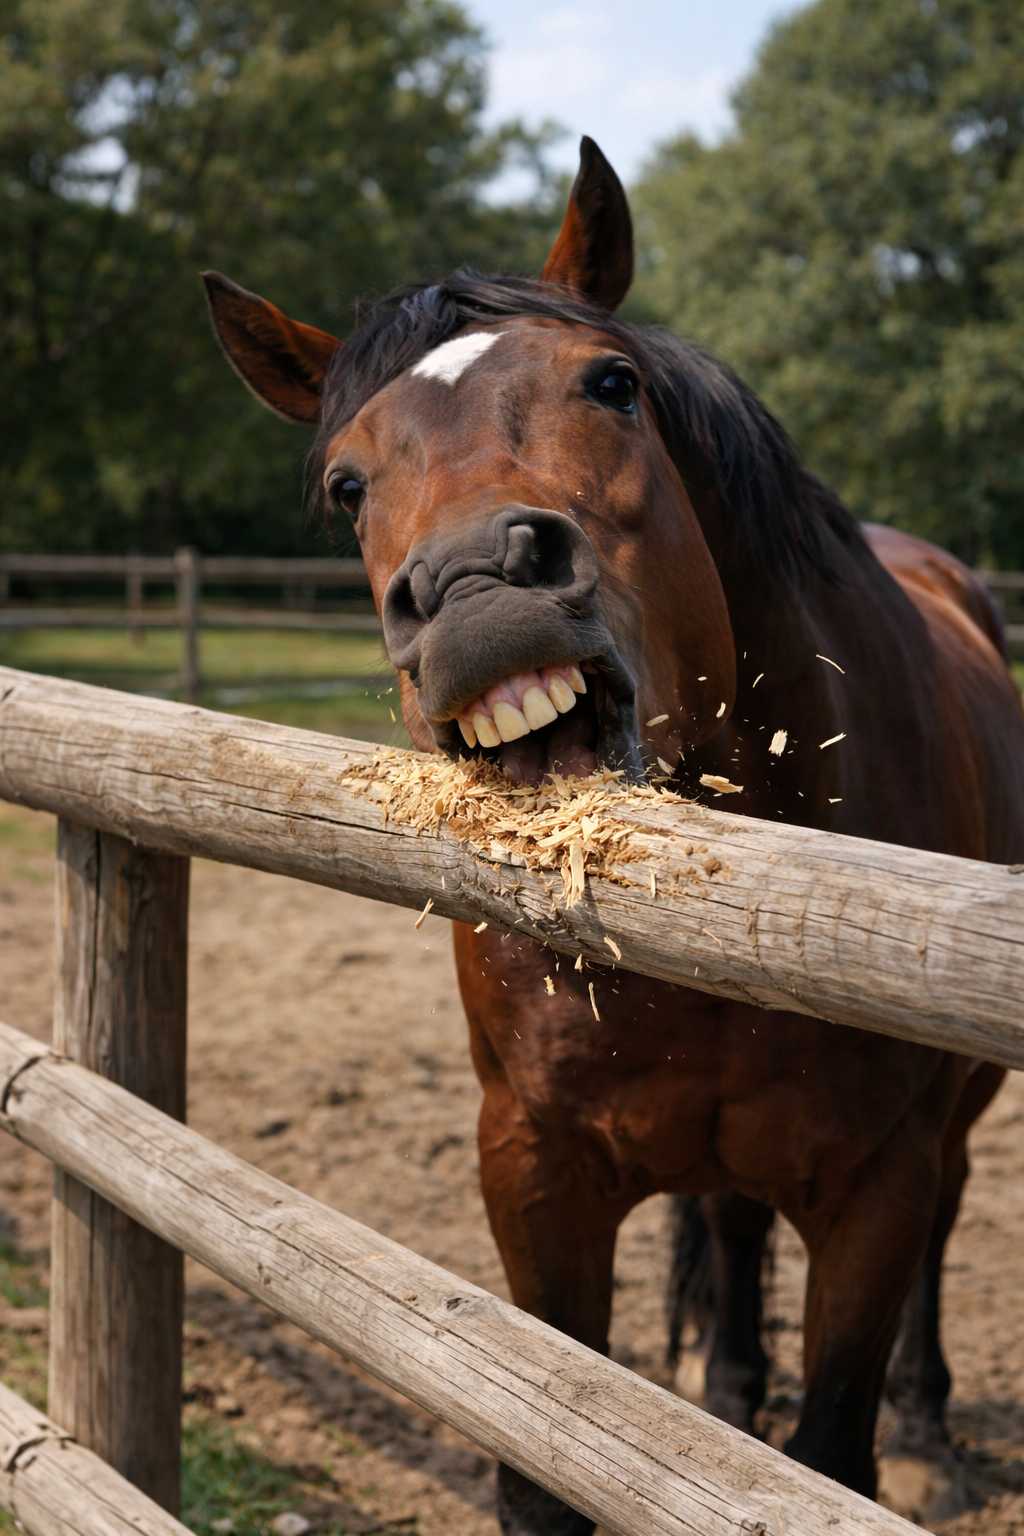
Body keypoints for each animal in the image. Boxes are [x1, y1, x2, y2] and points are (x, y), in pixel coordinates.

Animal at [203, 136, 1024, 1534]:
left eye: (612, 384)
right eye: (348, 484)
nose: (475, 583)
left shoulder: (877, 1187)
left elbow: (832, 1451)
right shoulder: (531, 1164)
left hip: (951, 1118)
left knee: (943, 1221)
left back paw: (926, 1423)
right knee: (734, 1233)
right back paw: (727, 1384)